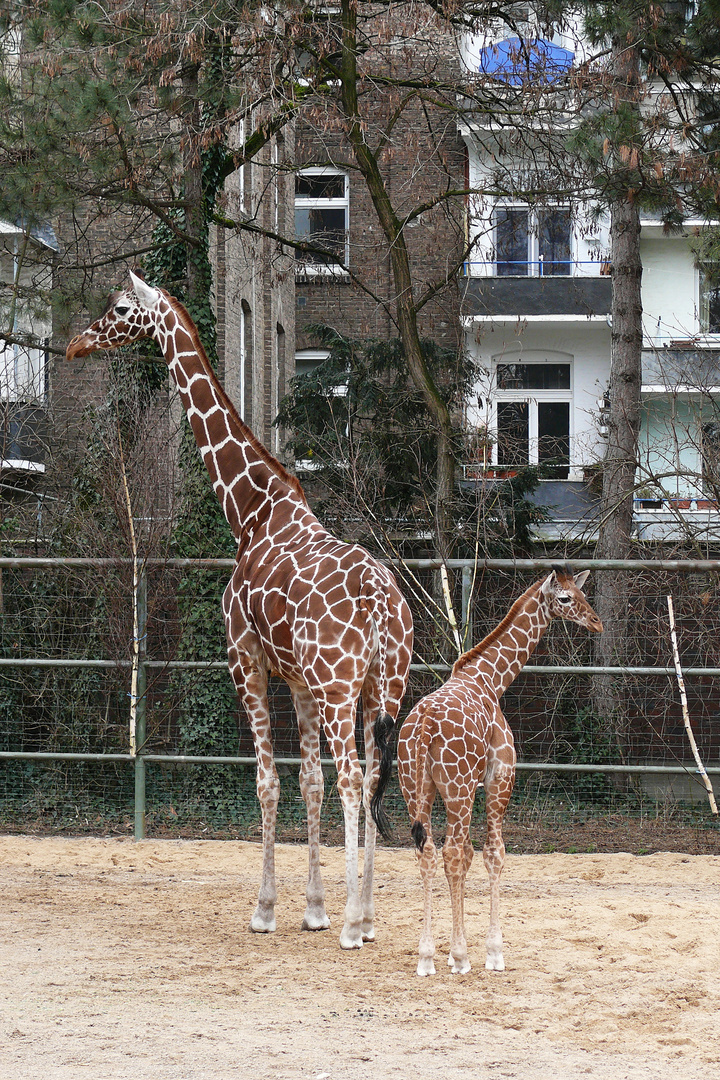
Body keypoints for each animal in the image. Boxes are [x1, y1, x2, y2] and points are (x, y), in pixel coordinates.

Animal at [69, 274, 416, 950]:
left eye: (121, 309)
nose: (77, 343)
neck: (249, 511)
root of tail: (382, 604)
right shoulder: (299, 683)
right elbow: (306, 783)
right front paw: (313, 909)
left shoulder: (246, 661)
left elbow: (268, 782)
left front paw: (266, 910)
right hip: (380, 688)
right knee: (370, 783)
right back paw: (364, 916)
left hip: (341, 689)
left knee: (354, 782)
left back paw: (353, 927)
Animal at [388, 570, 604, 976]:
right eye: (565, 599)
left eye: (582, 591)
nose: (596, 622)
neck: (491, 679)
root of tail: (424, 725)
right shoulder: (498, 778)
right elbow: (493, 853)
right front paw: (491, 952)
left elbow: (472, 854)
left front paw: (453, 951)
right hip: (457, 789)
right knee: (451, 851)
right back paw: (459, 957)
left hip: (415, 787)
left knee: (427, 851)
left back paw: (426, 957)